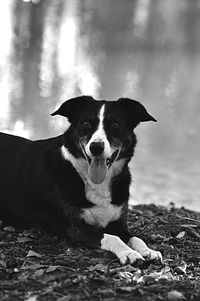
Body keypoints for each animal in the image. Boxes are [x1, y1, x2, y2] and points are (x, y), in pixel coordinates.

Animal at [0, 95, 161, 262]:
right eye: (86, 123)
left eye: (115, 124)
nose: (96, 147)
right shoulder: (76, 228)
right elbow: (112, 238)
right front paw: (129, 253)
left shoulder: (119, 224)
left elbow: (136, 238)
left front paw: (149, 250)